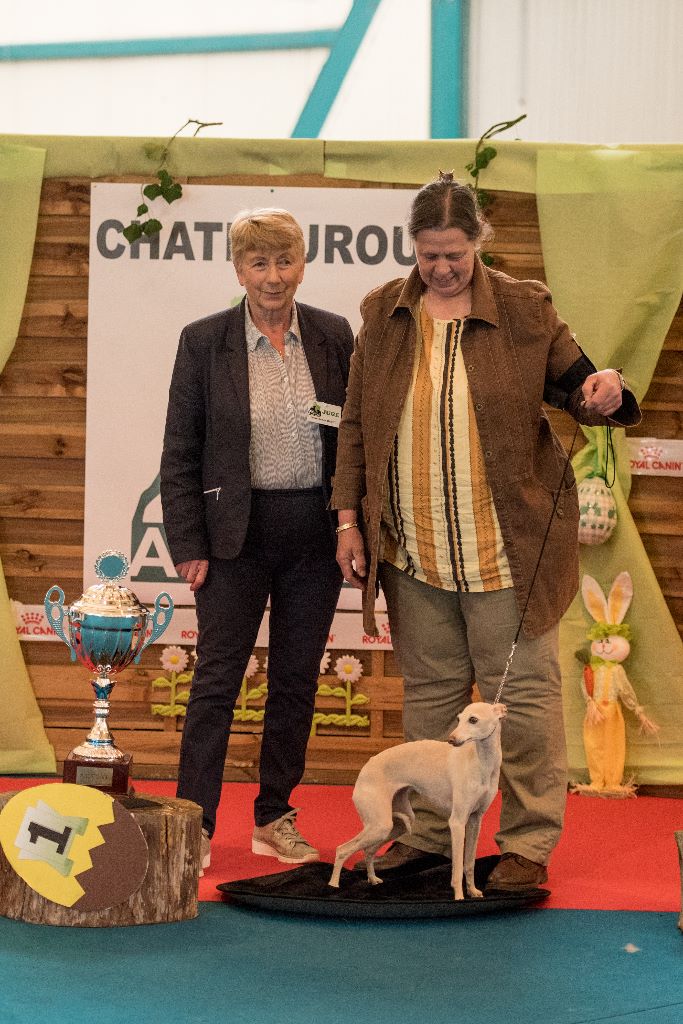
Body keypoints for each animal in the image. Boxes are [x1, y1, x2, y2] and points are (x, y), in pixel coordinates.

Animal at [327, 700, 505, 901]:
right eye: (459, 719)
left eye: (473, 719)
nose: (451, 740)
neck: (481, 763)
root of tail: (365, 768)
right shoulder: (457, 822)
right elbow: (458, 867)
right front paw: (459, 897)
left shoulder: (475, 820)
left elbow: (469, 863)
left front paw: (473, 891)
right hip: (380, 825)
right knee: (343, 849)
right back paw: (333, 886)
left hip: (396, 825)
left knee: (368, 851)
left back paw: (372, 879)